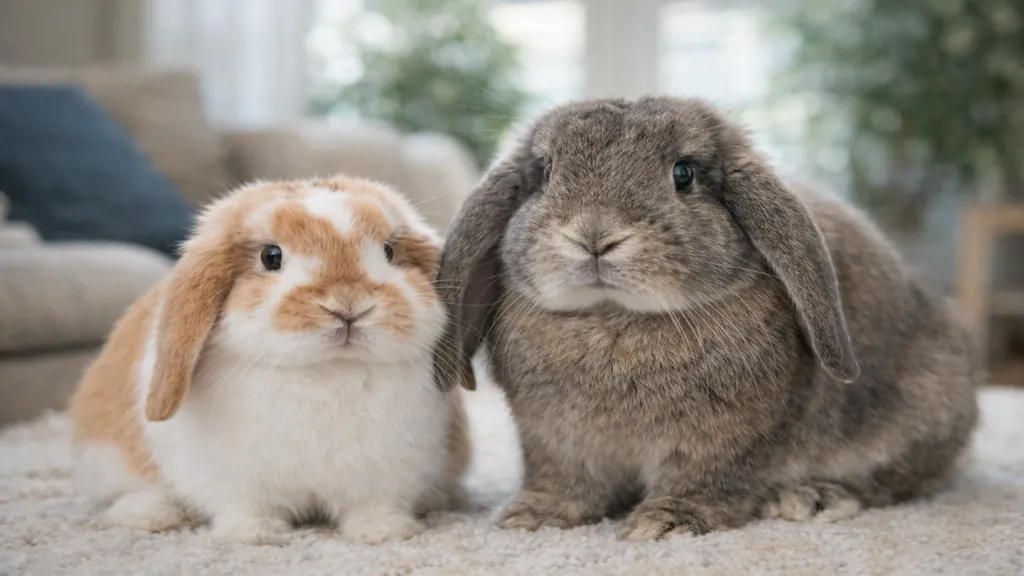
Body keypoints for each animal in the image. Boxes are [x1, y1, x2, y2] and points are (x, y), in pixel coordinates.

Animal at [70, 175, 471, 546]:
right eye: (271, 256)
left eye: (388, 250)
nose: (348, 306)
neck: (329, 369)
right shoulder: (234, 481)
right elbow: (246, 508)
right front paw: (256, 535)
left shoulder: (385, 476)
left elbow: (375, 505)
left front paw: (383, 532)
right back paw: (149, 516)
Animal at [432, 96, 980, 541]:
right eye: (543, 173)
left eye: (684, 174)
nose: (594, 236)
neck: (613, 318)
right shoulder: (554, 444)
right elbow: (563, 483)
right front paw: (531, 516)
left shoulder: (725, 445)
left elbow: (704, 483)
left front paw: (666, 524)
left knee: (894, 481)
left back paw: (814, 498)